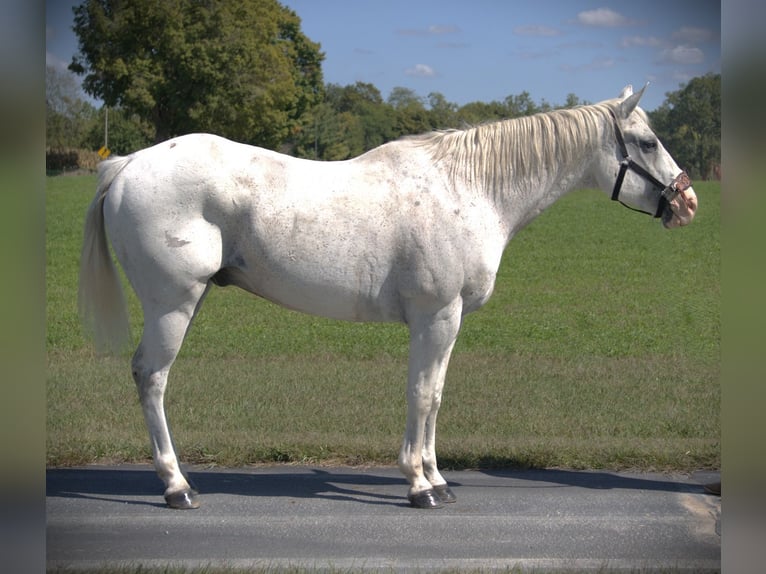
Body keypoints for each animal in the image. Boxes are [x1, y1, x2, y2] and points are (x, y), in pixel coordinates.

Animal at [79, 85, 697, 509]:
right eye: (647, 142)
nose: (686, 203)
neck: (467, 189)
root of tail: (128, 164)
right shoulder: (436, 317)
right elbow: (421, 396)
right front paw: (419, 485)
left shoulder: (447, 322)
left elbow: (436, 396)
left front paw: (438, 479)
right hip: (172, 305)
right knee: (152, 378)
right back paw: (176, 485)